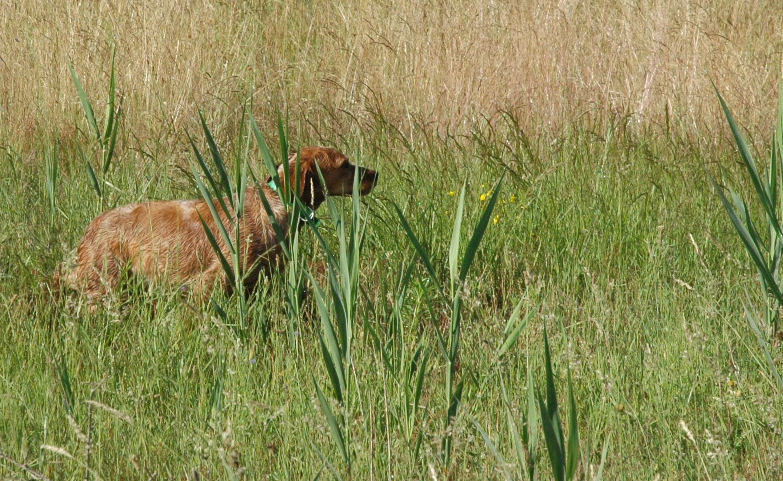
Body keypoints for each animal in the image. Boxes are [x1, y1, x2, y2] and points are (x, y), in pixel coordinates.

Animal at [59, 146, 378, 304]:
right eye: (346, 165)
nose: (375, 174)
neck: (274, 205)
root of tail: (91, 228)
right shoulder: (210, 281)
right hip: (104, 283)